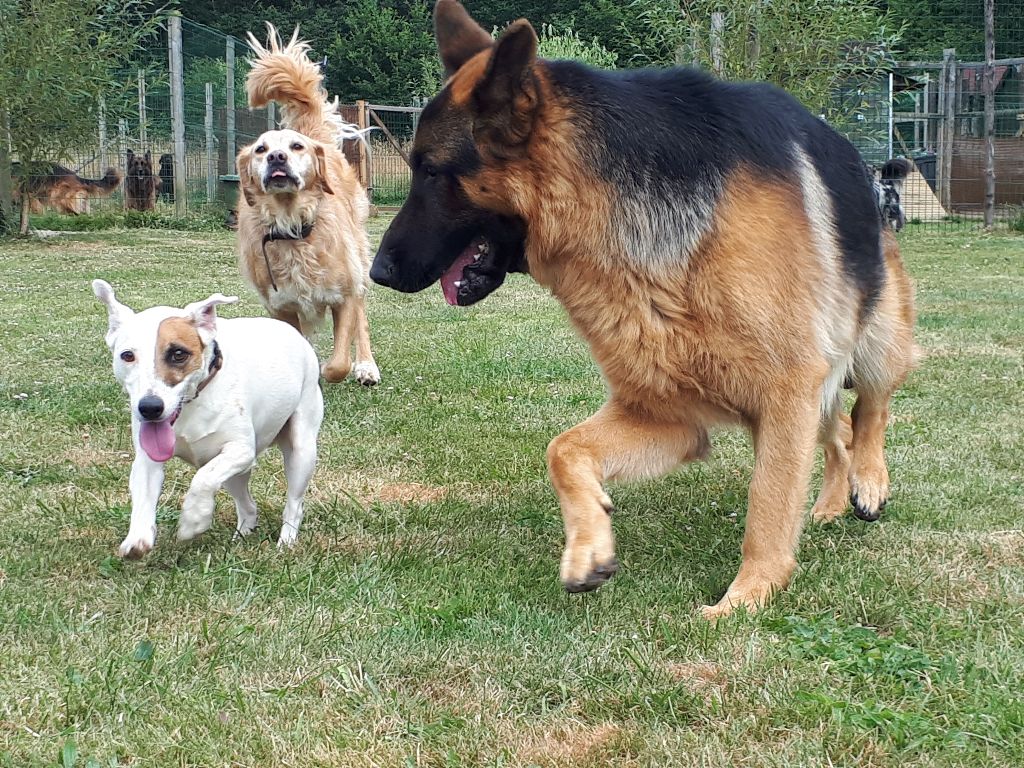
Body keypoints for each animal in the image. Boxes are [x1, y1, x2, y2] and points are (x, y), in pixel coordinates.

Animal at [95, 280, 323, 557]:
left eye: (178, 353)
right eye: (127, 355)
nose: (150, 407)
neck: (193, 404)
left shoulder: (241, 450)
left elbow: (202, 478)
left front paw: (194, 519)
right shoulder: (148, 459)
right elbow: (144, 496)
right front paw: (137, 538)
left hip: (301, 451)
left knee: (294, 503)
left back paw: (286, 540)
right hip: (236, 476)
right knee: (247, 505)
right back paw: (243, 533)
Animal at [372, 1, 917, 618]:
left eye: (431, 171)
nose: (377, 272)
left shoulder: (787, 392)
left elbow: (768, 504)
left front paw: (748, 596)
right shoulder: (670, 415)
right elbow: (563, 449)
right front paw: (590, 546)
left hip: (869, 345)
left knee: (870, 409)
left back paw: (868, 482)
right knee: (836, 432)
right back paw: (828, 504)